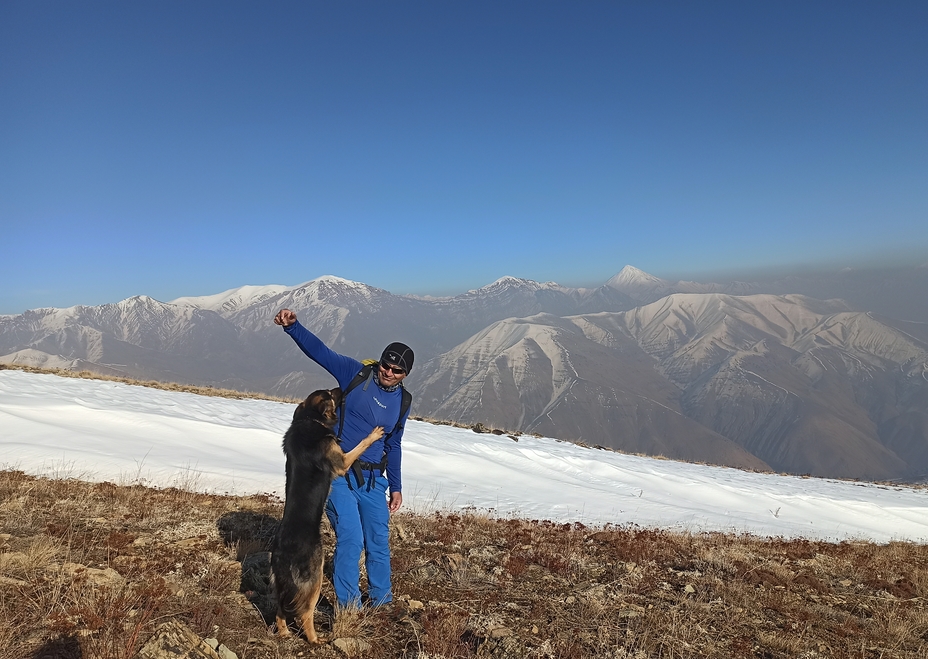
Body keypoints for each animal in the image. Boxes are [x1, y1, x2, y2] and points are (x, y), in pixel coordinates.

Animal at [268, 386, 384, 644]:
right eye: (331, 394)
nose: (343, 387)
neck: (309, 418)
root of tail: (282, 555)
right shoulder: (341, 461)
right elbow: (358, 446)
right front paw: (374, 434)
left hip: (281, 584)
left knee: (280, 609)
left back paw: (285, 633)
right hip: (316, 578)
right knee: (304, 612)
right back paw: (315, 640)